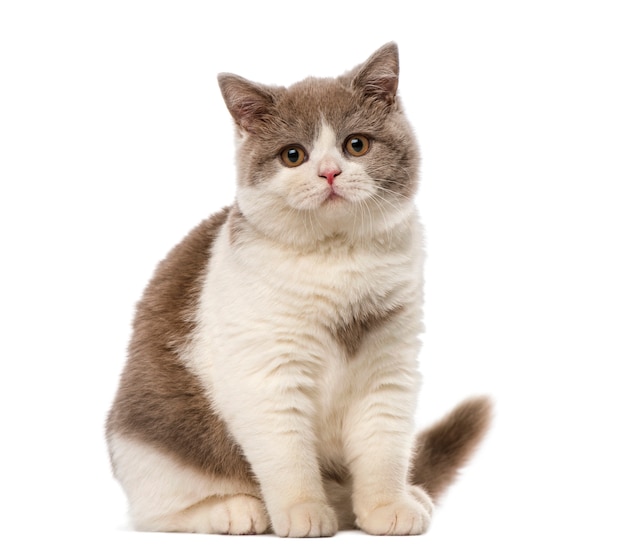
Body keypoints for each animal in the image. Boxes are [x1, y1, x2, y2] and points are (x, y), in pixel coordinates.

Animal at [105, 41, 490, 536]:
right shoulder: (266, 373)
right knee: (155, 511)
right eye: (293, 155)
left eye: (356, 145)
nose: (328, 173)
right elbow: (285, 451)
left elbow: (384, 443)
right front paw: (302, 512)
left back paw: (402, 496)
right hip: (151, 444)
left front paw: (387, 505)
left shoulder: (390, 365)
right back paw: (235, 510)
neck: (339, 258)